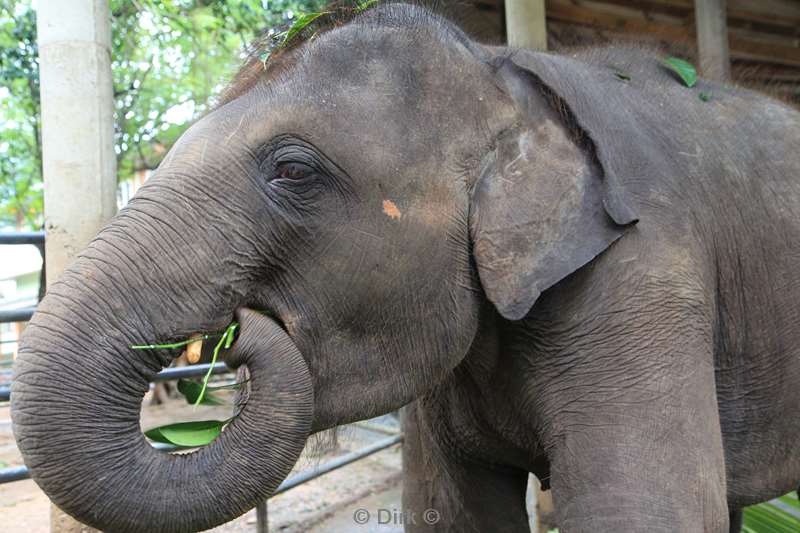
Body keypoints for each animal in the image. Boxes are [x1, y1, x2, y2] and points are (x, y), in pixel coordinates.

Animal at [10, 4, 800, 532]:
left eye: (293, 170)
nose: (239, 330)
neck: (502, 69)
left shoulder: (646, 274)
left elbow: (644, 508)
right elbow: (451, 513)